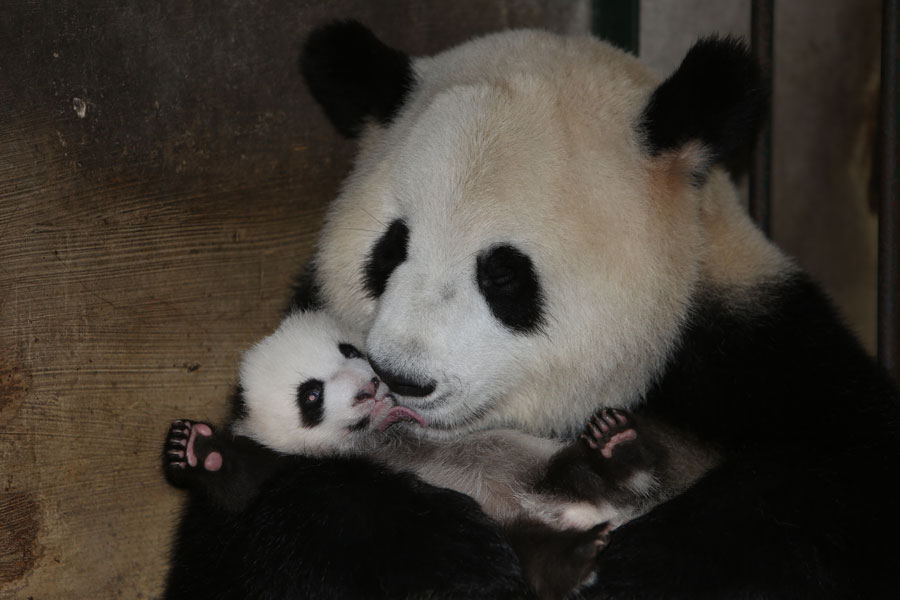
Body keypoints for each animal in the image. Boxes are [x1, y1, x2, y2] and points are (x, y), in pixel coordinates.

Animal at [165, 21, 900, 596]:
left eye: (504, 275)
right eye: (390, 250)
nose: (400, 378)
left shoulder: (758, 349)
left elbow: (821, 497)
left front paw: (636, 568)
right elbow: (254, 535)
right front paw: (446, 551)